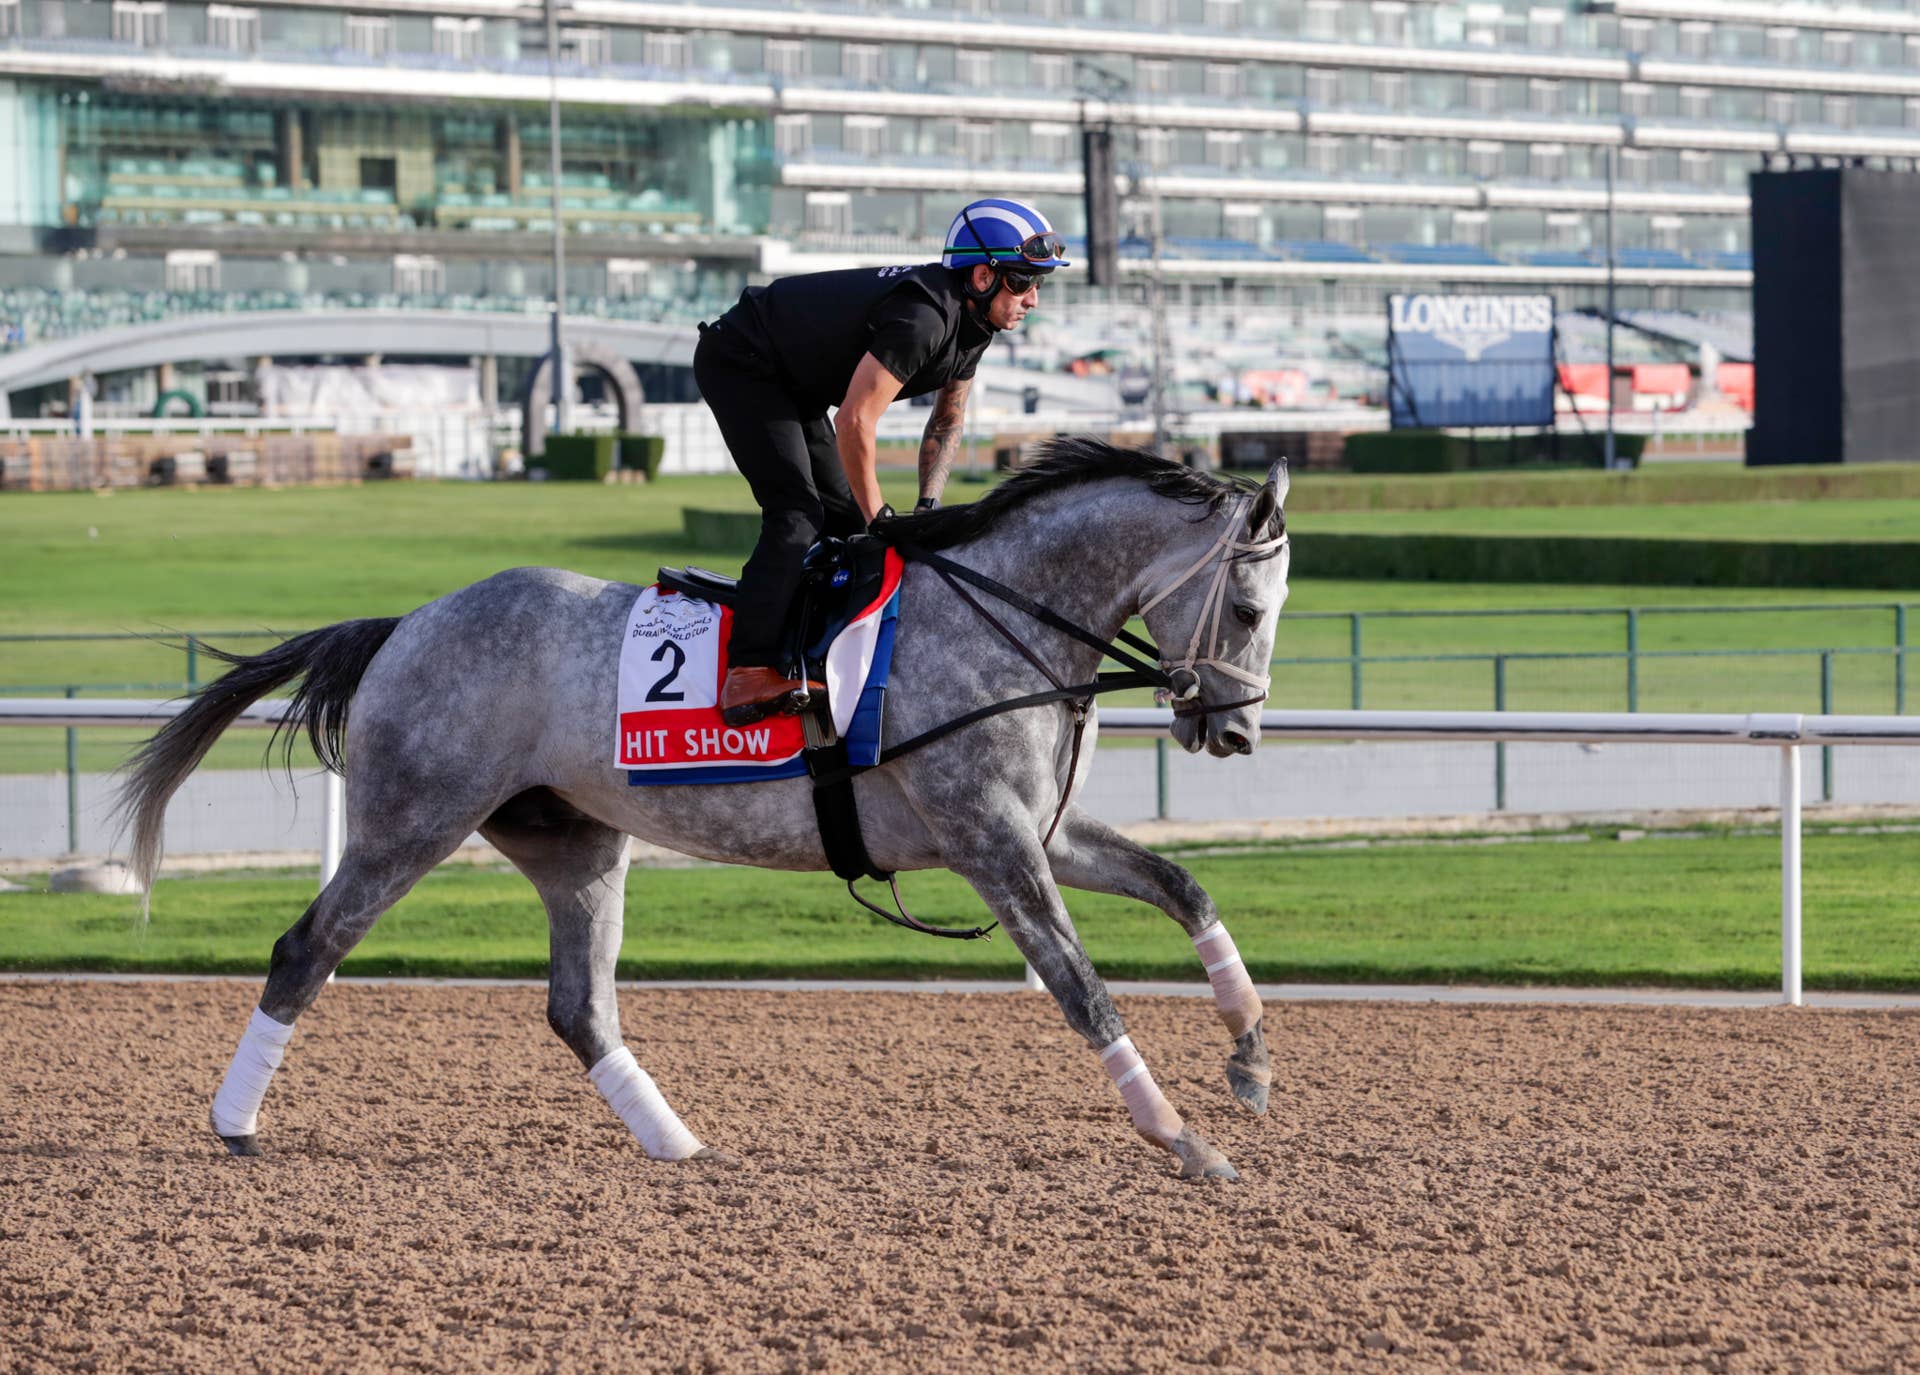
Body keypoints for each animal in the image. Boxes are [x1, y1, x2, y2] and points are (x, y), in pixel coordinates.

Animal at [118, 437, 1291, 1181]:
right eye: (1245, 606)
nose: (1235, 732)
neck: (998, 621)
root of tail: (405, 622)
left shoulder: (1040, 832)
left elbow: (1185, 885)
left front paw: (1250, 1057)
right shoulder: (990, 840)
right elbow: (1084, 990)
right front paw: (1184, 1139)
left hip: (575, 842)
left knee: (579, 1007)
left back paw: (676, 1142)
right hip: (412, 819)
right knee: (306, 947)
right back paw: (233, 1122)